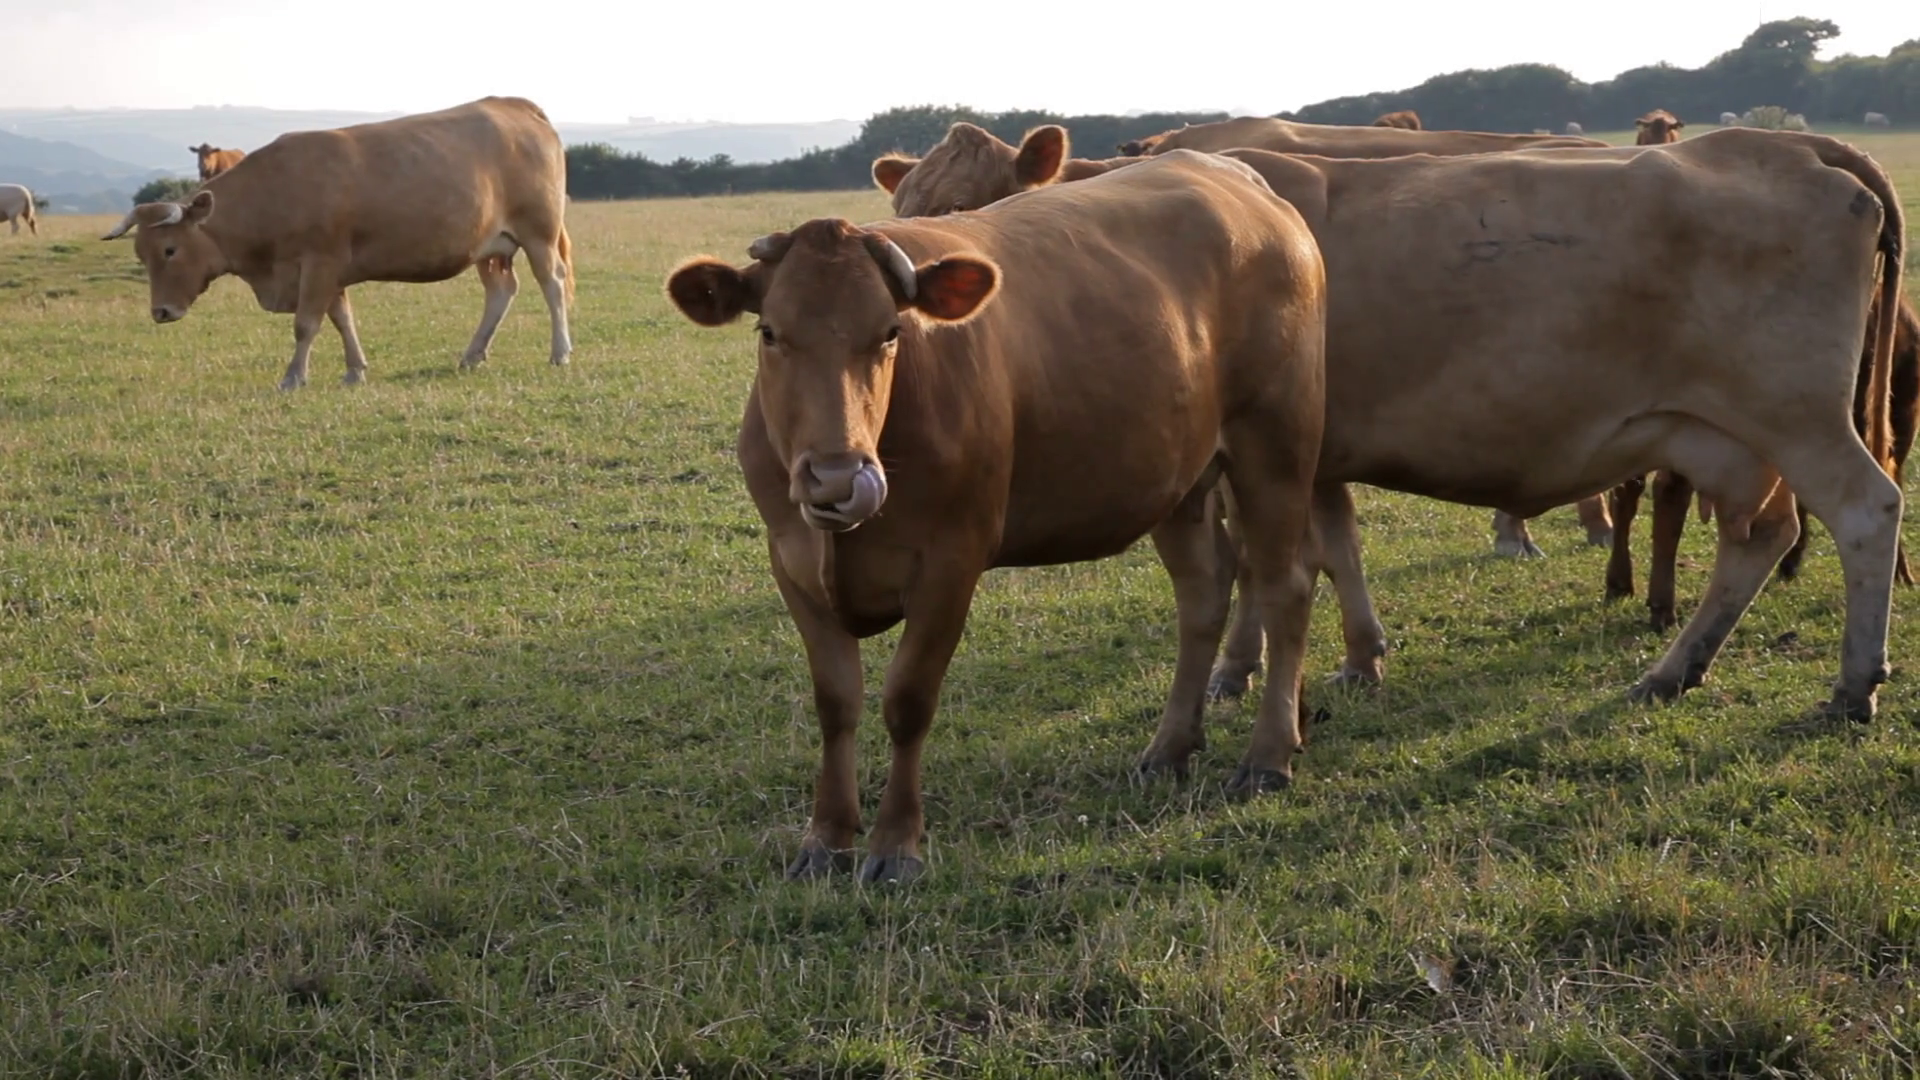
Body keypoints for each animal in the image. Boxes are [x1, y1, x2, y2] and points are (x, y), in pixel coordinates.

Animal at [105, 97, 574, 391]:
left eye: (170, 250)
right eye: (140, 254)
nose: (161, 311)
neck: (273, 192)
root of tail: (516, 105)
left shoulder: (319, 264)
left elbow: (307, 324)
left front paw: (293, 377)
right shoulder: (327, 272)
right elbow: (342, 318)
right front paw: (354, 370)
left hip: (539, 234)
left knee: (551, 285)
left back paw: (560, 351)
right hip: (490, 247)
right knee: (501, 292)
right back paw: (473, 353)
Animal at [663, 150, 1328, 881]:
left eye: (890, 333)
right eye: (770, 333)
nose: (838, 477)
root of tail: (1230, 171)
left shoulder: (950, 562)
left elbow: (908, 700)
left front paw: (895, 845)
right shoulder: (792, 562)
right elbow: (836, 703)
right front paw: (826, 838)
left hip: (1276, 445)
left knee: (1285, 588)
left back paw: (1268, 755)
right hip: (1179, 477)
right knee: (1204, 595)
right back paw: (1169, 748)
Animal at [875, 123, 1907, 735]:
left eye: (972, 210)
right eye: (900, 211)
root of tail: (1782, 146)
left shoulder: (1262, 446)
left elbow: (1264, 562)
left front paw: (1240, 673)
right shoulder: (1305, 450)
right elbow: (1327, 548)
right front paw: (1357, 656)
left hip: (1796, 416)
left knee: (1866, 510)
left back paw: (1852, 684)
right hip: (1725, 436)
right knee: (1759, 535)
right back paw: (1672, 671)